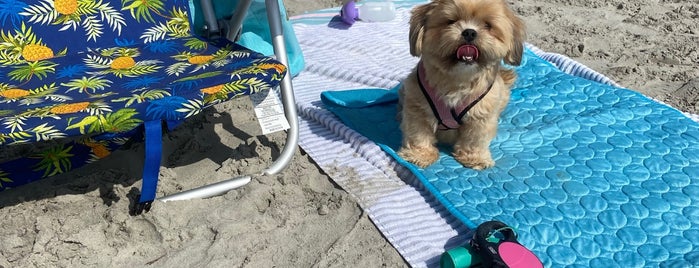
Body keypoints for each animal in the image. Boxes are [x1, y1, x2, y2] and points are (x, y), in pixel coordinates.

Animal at [400, 0, 524, 169]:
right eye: (451, 21)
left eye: (487, 25)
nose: (469, 32)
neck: (457, 80)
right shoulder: (417, 107)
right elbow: (418, 133)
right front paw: (419, 154)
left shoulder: (481, 116)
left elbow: (475, 139)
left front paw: (474, 157)